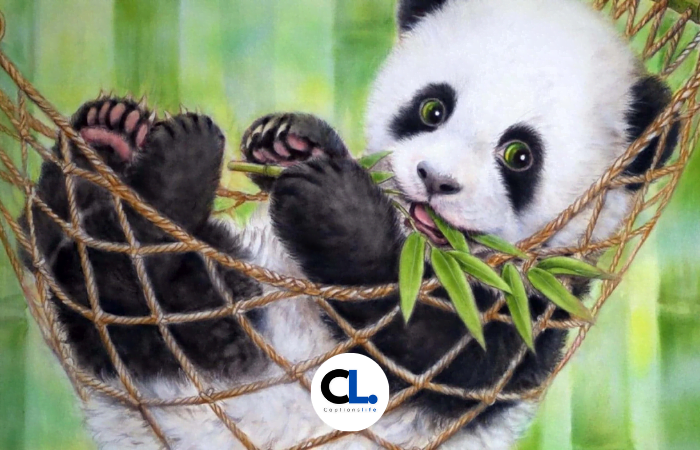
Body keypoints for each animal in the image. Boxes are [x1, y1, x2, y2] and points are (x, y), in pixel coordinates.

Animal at [19, 0, 678, 448]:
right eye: (432, 108)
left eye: (519, 154)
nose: (435, 180)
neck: (428, 250)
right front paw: (292, 141)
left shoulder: (528, 311)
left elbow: (423, 349)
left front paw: (333, 207)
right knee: (61, 255)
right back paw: (106, 140)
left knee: (140, 292)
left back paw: (169, 175)